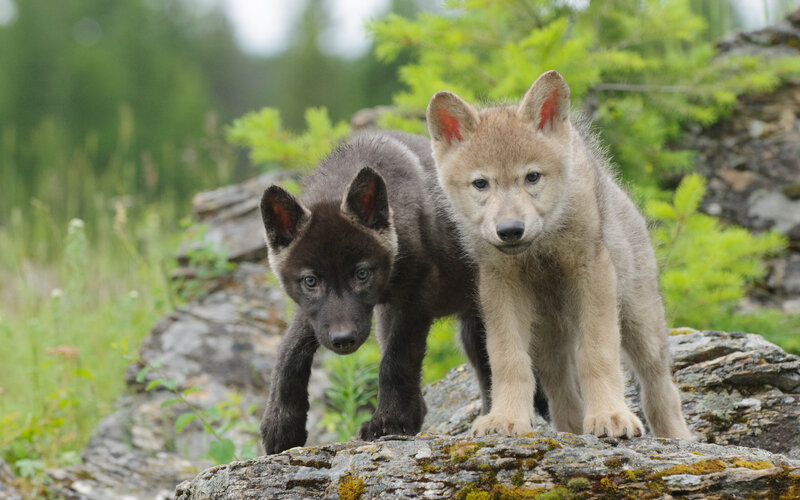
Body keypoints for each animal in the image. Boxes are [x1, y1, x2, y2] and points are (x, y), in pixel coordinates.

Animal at [259, 131, 548, 454]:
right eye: (310, 281)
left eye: (361, 274)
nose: (343, 340)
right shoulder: (317, 314)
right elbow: (288, 354)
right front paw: (282, 426)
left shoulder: (416, 295)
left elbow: (396, 360)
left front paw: (390, 420)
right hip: (469, 331)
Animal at [426, 71, 691, 439]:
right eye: (481, 184)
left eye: (532, 177)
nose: (510, 230)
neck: (542, 247)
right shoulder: (500, 284)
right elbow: (507, 359)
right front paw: (506, 418)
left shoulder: (593, 273)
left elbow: (597, 353)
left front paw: (610, 415)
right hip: (548, 337)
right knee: (562, 391)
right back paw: (572, 431)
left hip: (640, 319)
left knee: (659, 386)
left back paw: (675, 437)